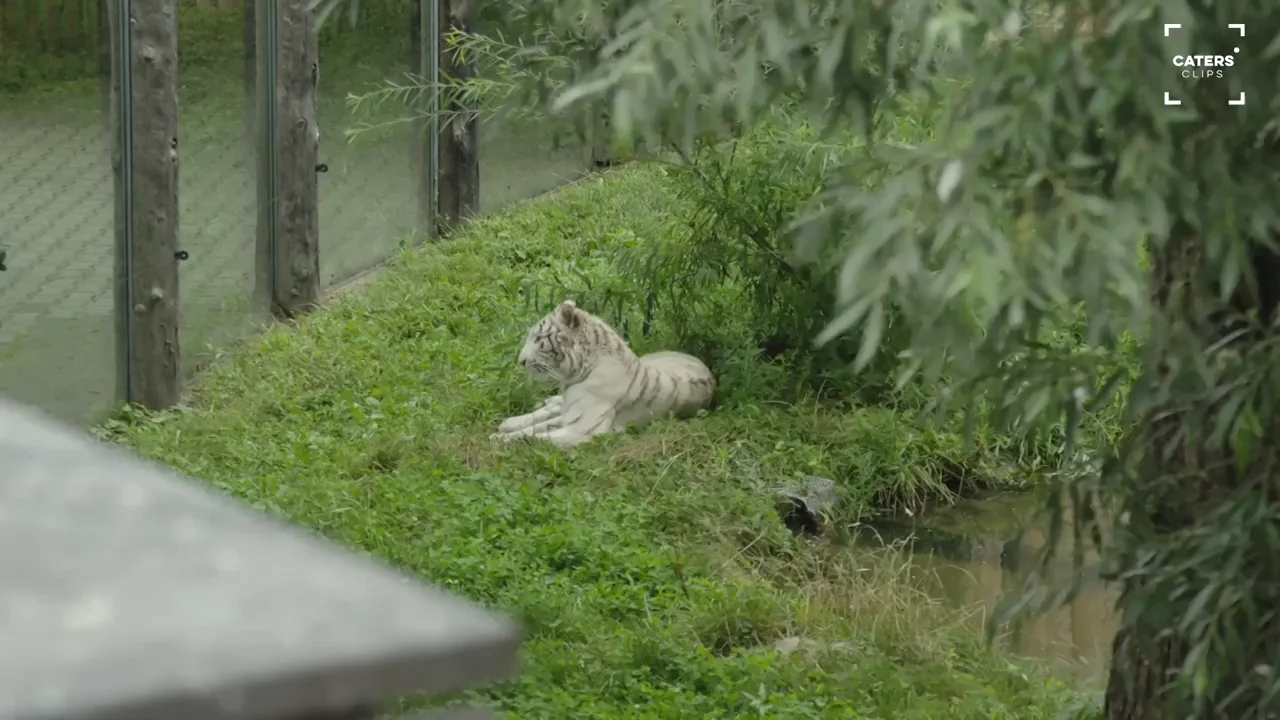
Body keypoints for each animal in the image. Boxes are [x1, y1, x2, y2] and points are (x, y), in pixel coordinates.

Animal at [491, 298, 717, 448]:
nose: (521, 361)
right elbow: (537, 427)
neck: (577, 372)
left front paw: (498, 439)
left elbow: (536, 435)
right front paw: (504, 431)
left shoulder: (583, 429)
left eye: (538, 339)